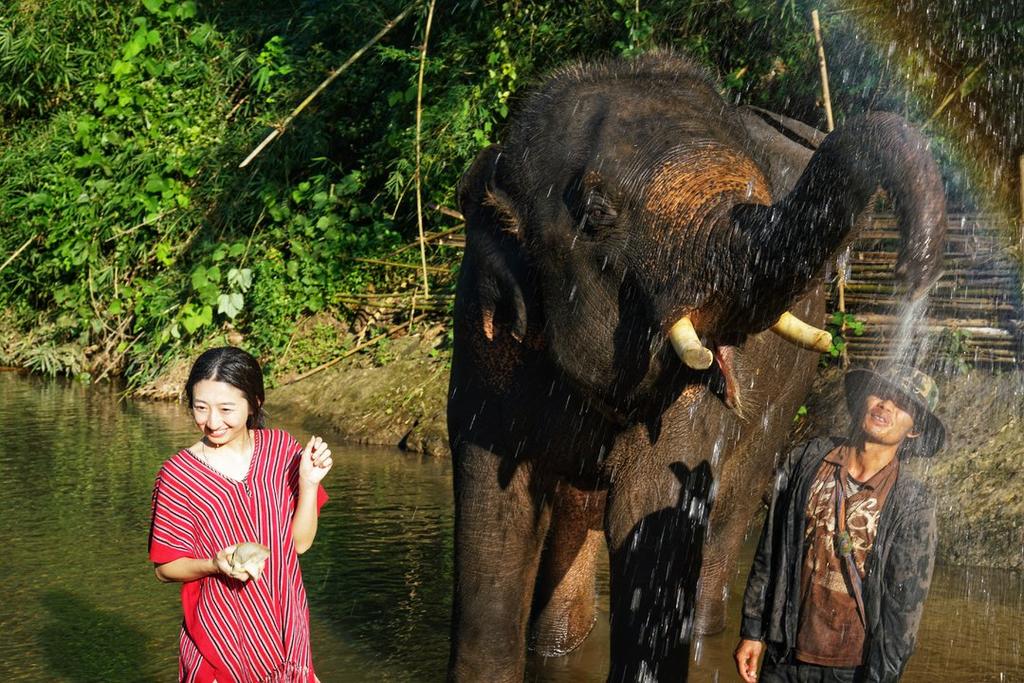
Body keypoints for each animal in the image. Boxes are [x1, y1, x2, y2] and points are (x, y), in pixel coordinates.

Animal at [446, 52, 945, 682]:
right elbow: (495, 505)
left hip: (788, 394)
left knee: (733, 507)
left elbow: (651, 506)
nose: (915, 265)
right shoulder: (483, 332)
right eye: (597, 212)